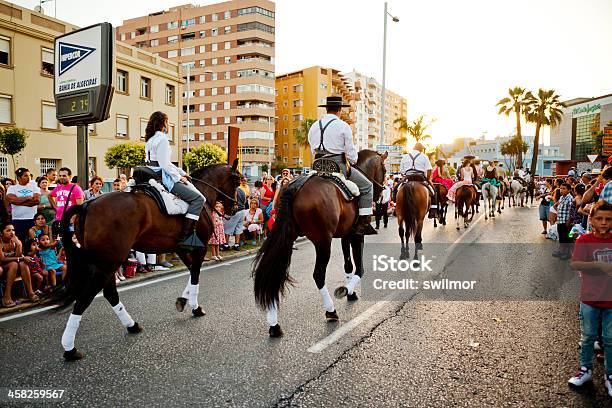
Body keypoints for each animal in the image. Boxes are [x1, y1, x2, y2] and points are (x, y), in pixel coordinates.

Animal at [55, 162, 240, 360]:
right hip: (107, 263)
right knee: (85, 298)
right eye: (237, 181)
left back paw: (132, 325)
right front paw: (195, 307)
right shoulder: (200, 248)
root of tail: (87, 205)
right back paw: (70, 349)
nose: (236, 208)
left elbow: (191, 273)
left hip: (106, 263)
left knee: (110, 293)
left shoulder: (182, 249)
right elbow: (196, 275)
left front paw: (183, 300)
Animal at [251, 150, 384, 338]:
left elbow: (348, 265)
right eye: (384, 169)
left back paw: (274, 324)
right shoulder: (357, 236)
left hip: (287, 238)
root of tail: (295, 186)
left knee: (275, 271)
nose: (380, 194)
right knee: (318, 275)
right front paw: (346, 290)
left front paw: (350, 292)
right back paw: (331, 311)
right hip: (322, 242)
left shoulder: (346, 234)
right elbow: (360, 268)